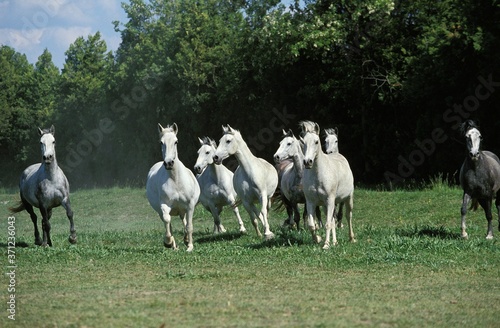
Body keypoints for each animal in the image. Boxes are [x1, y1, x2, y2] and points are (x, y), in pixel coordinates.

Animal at [146, 123, 200, 251]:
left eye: (176, 141)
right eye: (161, 142)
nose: (169, 163)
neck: (176, 180)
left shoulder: (190, 206)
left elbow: (189, 226)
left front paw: (190, 246)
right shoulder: (164, 205)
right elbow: (167, 221)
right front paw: (168, 242)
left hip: (182, 209)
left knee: (183, 221)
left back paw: (186, 240)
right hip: (162, 211)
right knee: (168, 222)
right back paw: (174, 246)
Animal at [298, 120, 354, 249]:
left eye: (316, 141)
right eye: (303, 142)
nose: (307, 162)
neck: (318, 175)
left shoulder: (330, 200)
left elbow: (328, 223)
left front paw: (326, 245)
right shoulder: (311, 202)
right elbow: (312, 225)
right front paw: (318, 239)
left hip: (347, 199)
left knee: (348, 216)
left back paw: (351, 238)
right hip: (326, 205)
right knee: (333, 220)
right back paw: (335, 242)